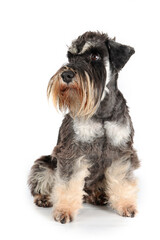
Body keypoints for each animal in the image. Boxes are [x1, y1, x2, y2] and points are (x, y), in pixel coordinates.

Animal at [28, 31, 139, 223]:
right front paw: (64, 210)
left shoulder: (121, 151)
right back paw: (44, 198)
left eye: (95, 56)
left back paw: (99, 195)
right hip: (45, 164)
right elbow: (67, 182)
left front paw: (126, 205)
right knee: (44, 181)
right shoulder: (72, 150)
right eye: (70, 57)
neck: (101, 110)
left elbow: (122, 178)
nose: (66, 75)